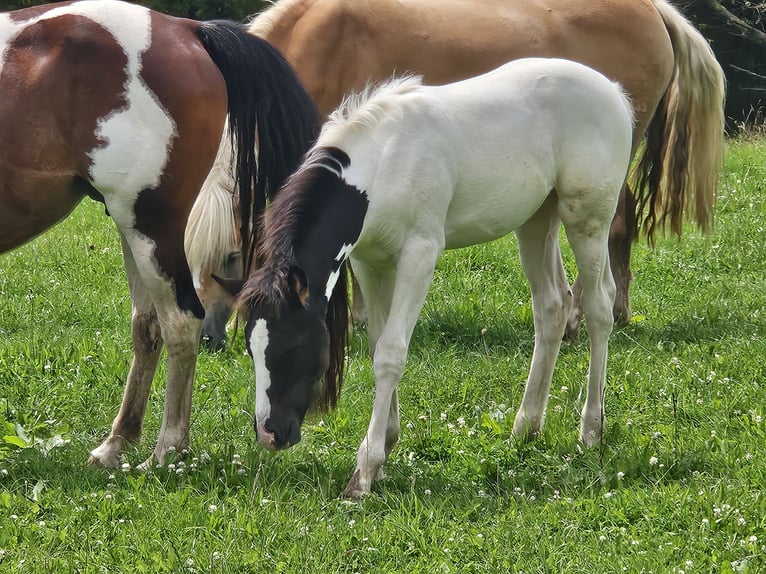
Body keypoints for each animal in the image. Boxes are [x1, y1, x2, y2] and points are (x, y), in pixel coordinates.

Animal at [0, 0, 318, 468]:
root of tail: (187, 30)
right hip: (132, 227)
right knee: (147, 326)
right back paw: (119, 441)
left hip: (150, 224)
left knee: (180, 322)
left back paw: (167, 448)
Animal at [186, 0, 728, 348]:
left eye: (230, 257)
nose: (210, 335)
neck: (323, 42)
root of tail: (655, 11)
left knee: (611, 230)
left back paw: (585, 318)